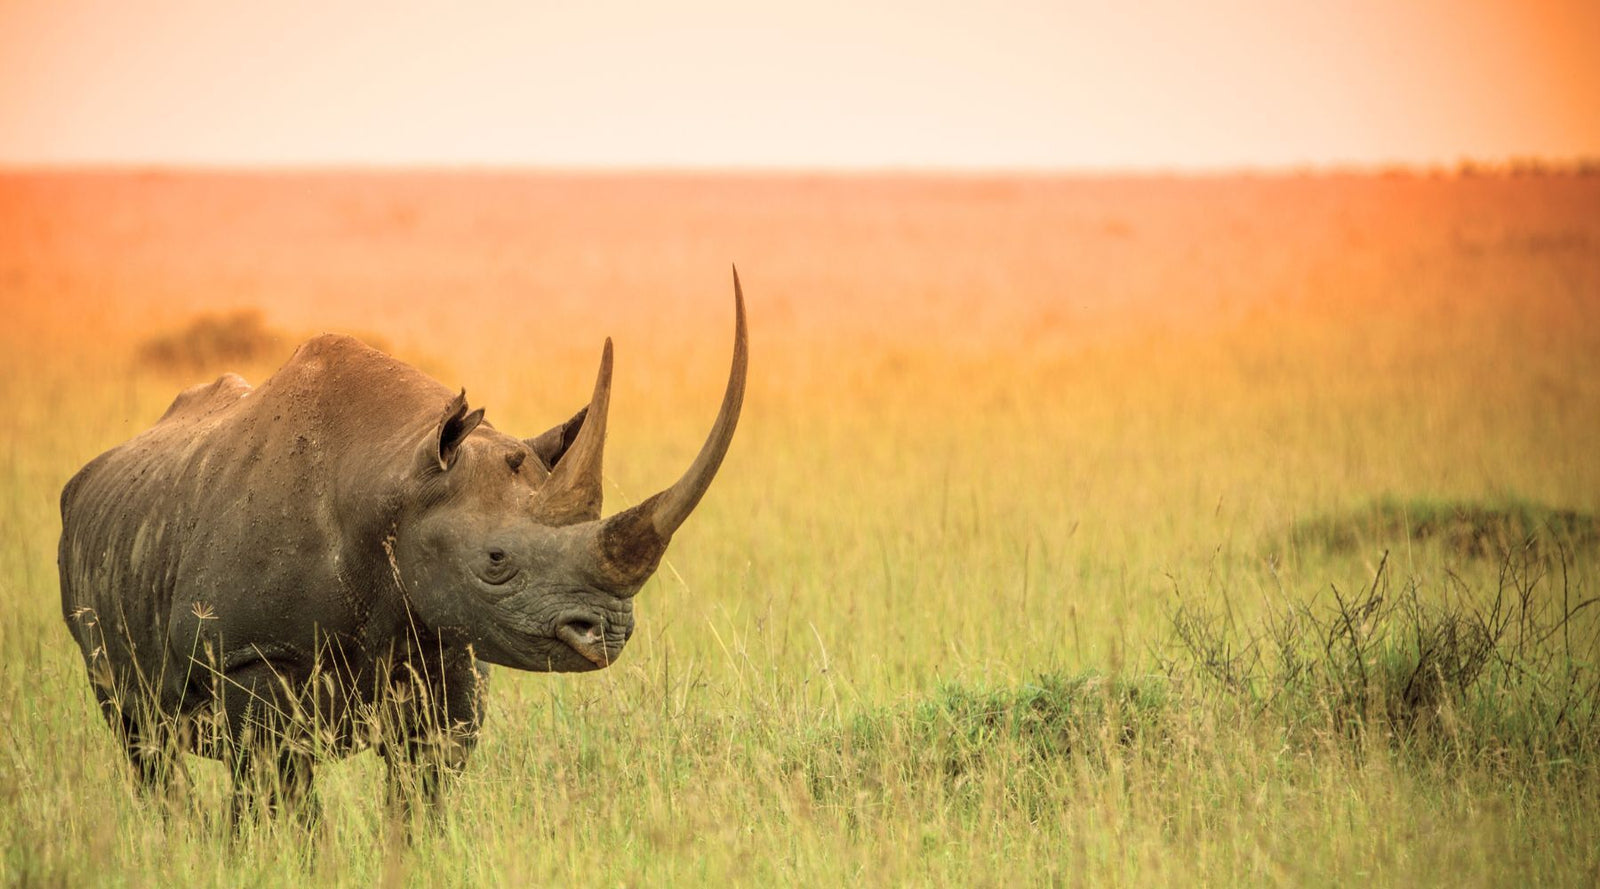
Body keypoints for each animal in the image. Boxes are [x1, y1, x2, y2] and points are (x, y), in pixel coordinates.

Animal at [59, 271, 747, 823]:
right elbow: (278, 792)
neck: (398, 481)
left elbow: (422, 791)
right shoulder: (247, 654)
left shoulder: (450, 647)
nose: (607, 631)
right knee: (143, 740)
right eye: (495, 561)